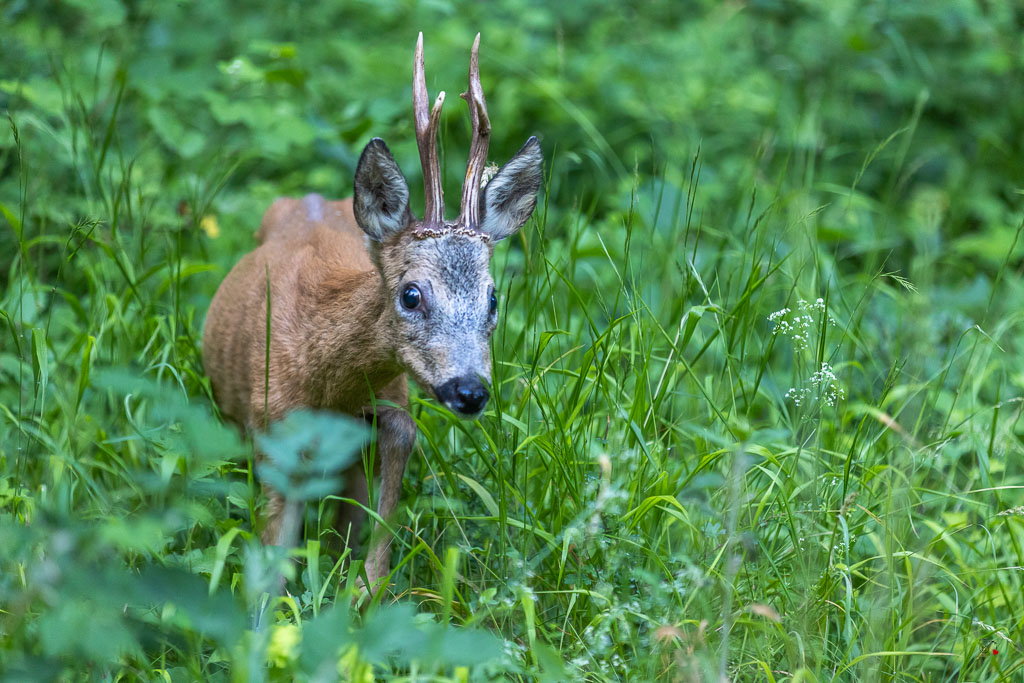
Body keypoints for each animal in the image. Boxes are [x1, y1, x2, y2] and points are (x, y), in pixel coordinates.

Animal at [202, 33, 543, 592]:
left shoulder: (388, 396)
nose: (470, 390)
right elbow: (271, 555)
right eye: (411, 294)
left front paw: (366, 581)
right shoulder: (269, 426)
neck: (322, 380)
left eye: (493, 298)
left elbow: (399, 441)